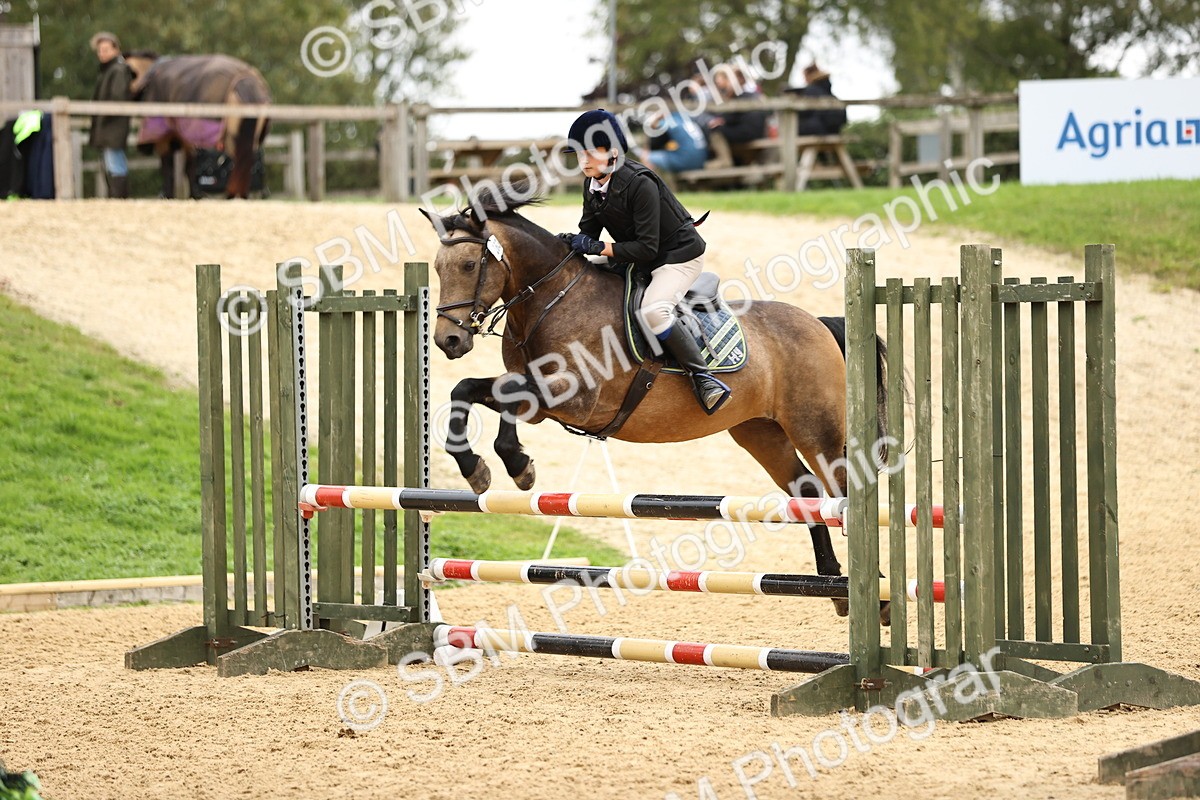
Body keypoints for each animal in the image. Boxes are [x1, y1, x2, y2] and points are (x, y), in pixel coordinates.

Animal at [125, 52, 270, 199]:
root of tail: (246, 81)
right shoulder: (186, 137)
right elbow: (189, 164)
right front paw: (194, 194)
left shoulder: (165, 137)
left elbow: (169, 165)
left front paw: (167, 194)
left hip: (232, 138)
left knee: (240, 164)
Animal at [418, 183, 890, 620]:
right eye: (438, 268)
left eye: (469, 264)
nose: (448, 340)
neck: (552, 301)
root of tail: (819, 323)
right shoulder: (539, 396)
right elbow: (467, 389)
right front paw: (477, 469)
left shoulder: (574, 398)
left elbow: (505, 401)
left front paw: (517, 465)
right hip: (760, 432)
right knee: (807, 490)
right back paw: (834, 587)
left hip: (815, 428)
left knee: (843, 486)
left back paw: (878, 597)